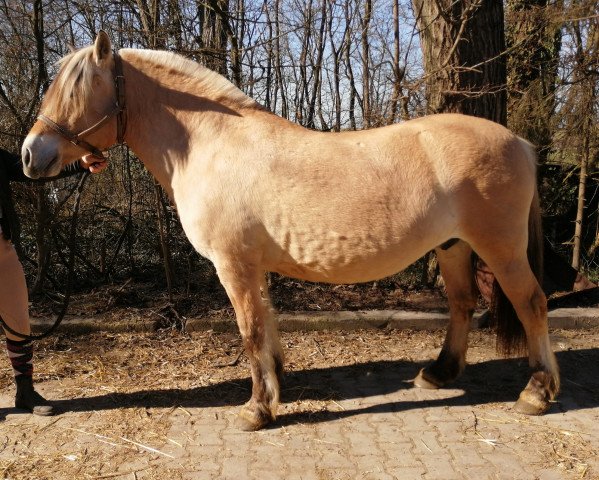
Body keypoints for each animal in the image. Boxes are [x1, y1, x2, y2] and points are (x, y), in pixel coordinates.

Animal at [21, 32, 560, 432]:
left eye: (77, 90)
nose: (29, 155)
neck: (210, 145)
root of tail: (520, 143)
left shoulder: (233, 264)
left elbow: (250, 328)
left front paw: (256, 409)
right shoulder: (252, 266)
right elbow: (266, 323)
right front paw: (276, 384)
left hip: (501, 248)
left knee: (531, 303)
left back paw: (537, 393)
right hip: (453, 247)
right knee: (463, 304)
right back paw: (439, 373)